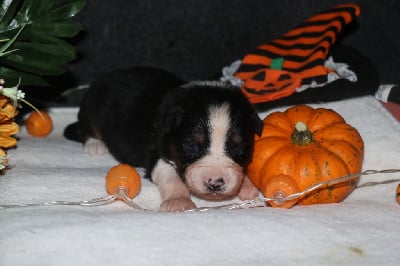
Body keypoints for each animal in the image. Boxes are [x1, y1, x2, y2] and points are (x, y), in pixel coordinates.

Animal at [64, 67, 264, 212]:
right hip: (90, 108)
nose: (215, 183)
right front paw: (178, 201)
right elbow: (170, 177)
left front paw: (248, 187)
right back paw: (95, 145)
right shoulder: (157, 153)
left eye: (238, 146)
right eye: (192, 145)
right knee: (86, 128)